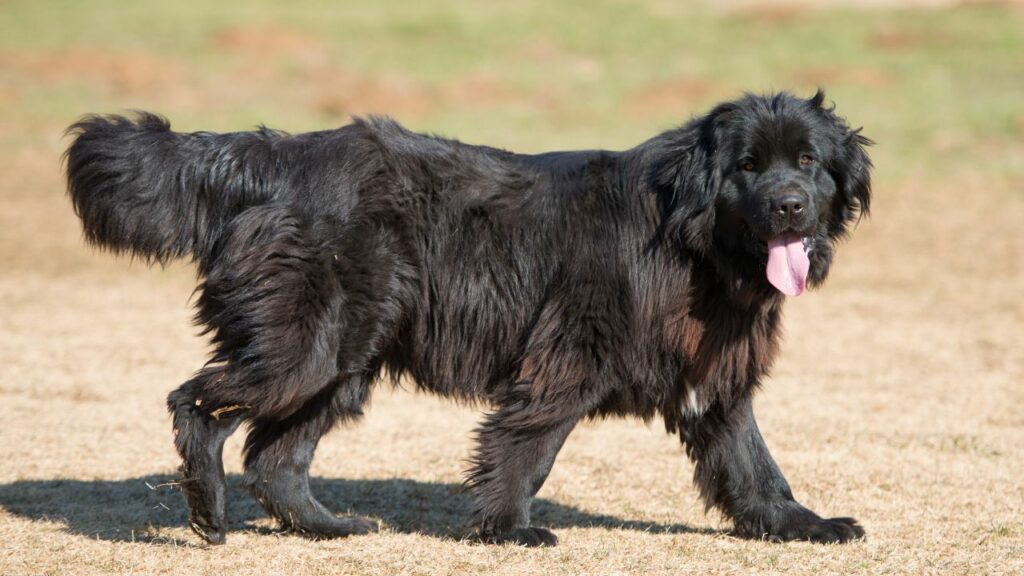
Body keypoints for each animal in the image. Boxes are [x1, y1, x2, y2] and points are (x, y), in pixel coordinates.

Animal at [61, 89, 872, 541]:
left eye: (807, 162)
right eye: (746, 166)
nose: (789, 206)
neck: (689, 234)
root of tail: (275, 158)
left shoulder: (714, 376)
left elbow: (753, 465)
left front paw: (801, 527)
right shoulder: (566, 355)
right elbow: (527, 445)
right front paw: (507, 530)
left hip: (345, 357)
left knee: (275, 457)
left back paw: (328, 528)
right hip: (306, 345)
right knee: (197, 405)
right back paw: (207, 512)